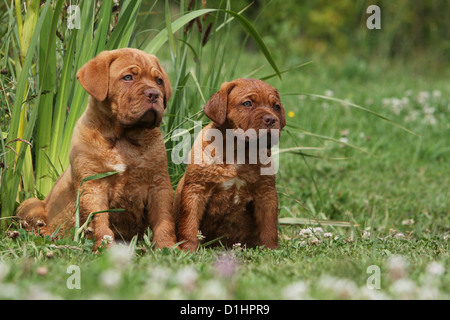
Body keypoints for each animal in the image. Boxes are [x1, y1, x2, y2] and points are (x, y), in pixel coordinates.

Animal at [19, 48, 178, 250]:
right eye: (128, 77)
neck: (124, 138)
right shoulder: (93, 186)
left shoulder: (159, 185)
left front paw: (167, 246)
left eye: (158, 81)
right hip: (30, 204)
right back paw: (46, 233)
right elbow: (99, 221)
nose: (154, 94)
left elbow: (164, 220)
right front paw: (105, 247)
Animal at [175, 79, 284, 251]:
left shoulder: (266, 193)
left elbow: (269, 226)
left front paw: (271, 249)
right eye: (247, 103)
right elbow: (190, 223)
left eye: (276, 107)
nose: (272, 119)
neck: (237, 151)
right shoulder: (196, 190)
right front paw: (188, 248)